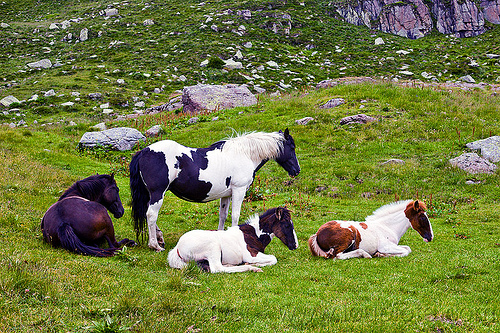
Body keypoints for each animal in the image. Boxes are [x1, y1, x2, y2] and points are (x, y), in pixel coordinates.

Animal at [130, 128, 300, 250]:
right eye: (292, 147)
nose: (297, 171)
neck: (244, 155)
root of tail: (143, 152)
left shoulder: (226, 195)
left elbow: (223, 215)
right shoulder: (239, 191)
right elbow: (235, 216)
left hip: (150, 195)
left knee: (147, 213)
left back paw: (159, 238)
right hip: (157, 194)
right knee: (151, 215)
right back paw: (155, 245)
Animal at [166, 208, 298, 272]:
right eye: (287, 225)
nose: (295, 245)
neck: (254, 234)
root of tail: (177, 248)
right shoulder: (251, 255)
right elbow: (273, 258)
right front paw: (253, 264)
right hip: (213, 247)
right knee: (217, 269)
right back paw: (251, 268)